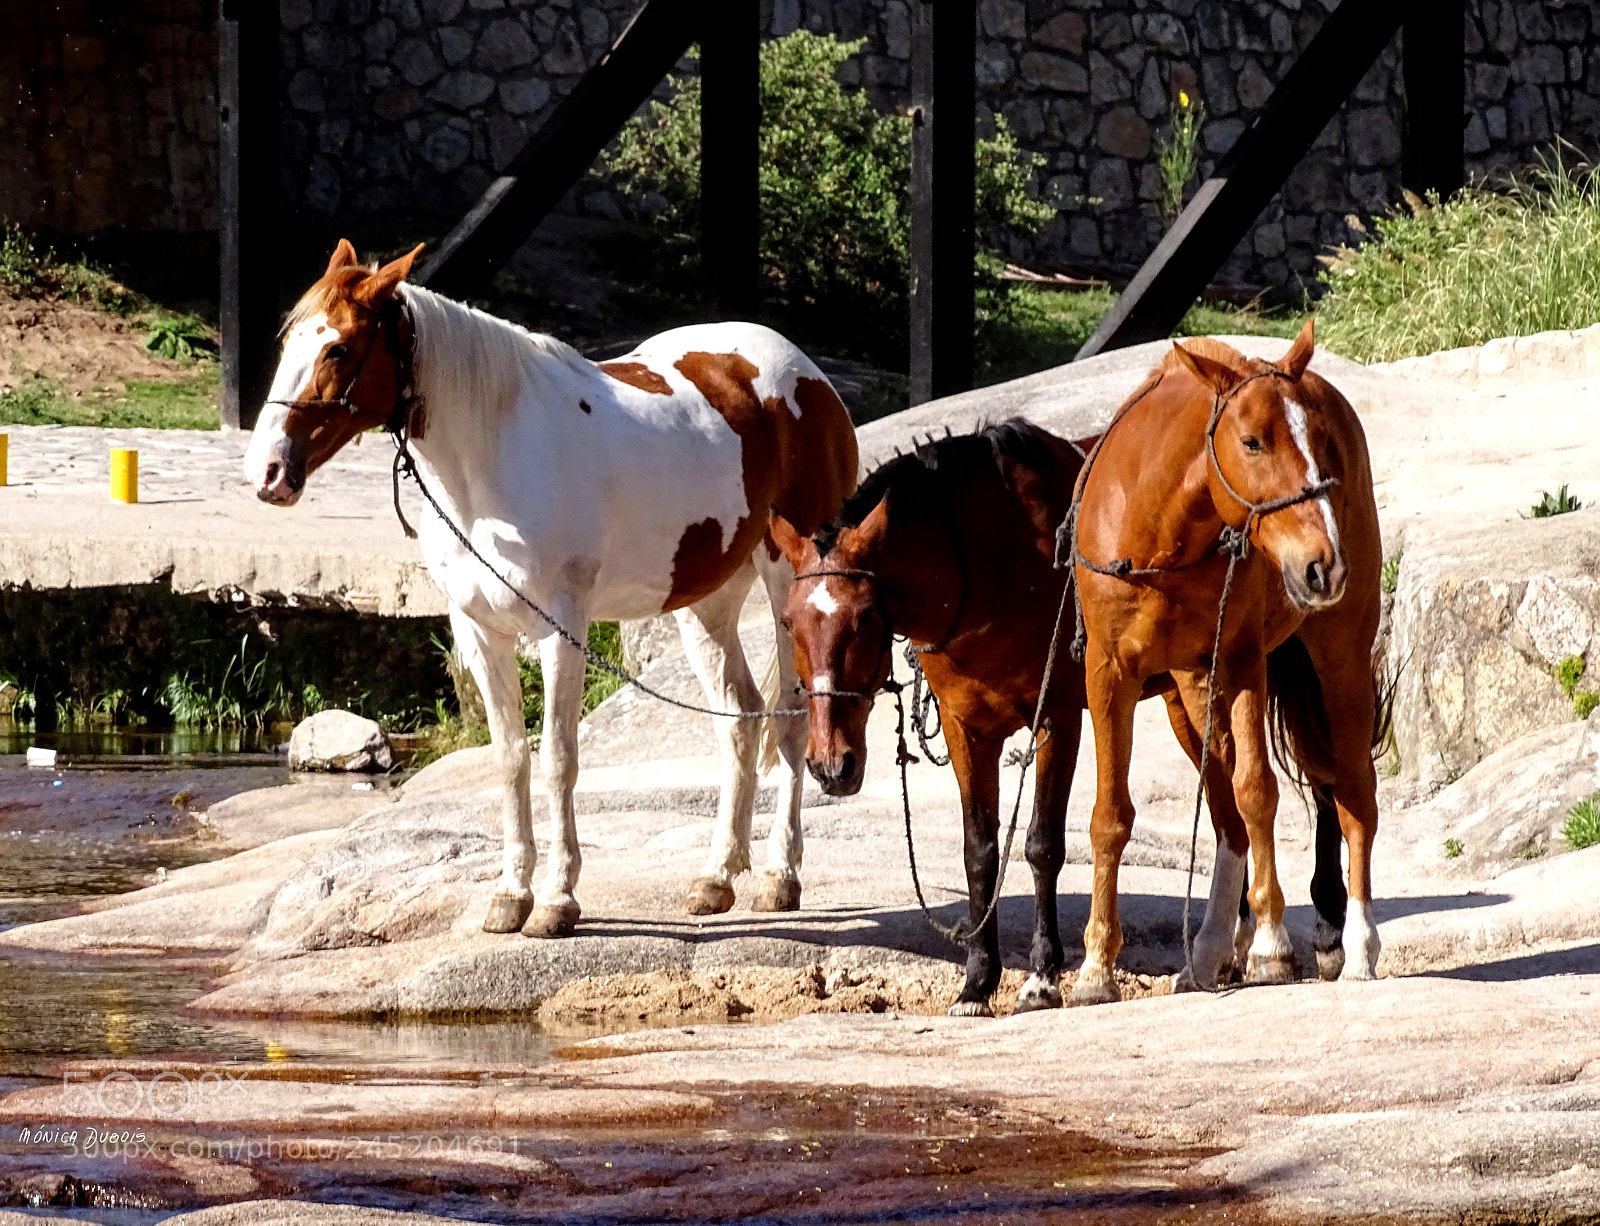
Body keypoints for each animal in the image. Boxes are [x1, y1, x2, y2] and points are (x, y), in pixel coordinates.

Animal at [244, 241, 858, 937]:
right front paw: (510, 895)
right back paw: (716, 878)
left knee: (790, 720)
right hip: (706, 603)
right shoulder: (480, 634)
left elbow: (558, 758)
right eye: (288, 339)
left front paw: (557, 901)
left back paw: (781, 877)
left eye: (339, 349)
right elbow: (510, 757)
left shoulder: (560, 632)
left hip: (793, 589)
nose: (267, 472)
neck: (495, 456)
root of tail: (808, 375)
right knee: (740, 720)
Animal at [769, 418, 1353, 1015]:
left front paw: (1042, 977)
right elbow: (979, 852)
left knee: (1322, 780)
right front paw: (978, 982)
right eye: (788, 623)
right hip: (1186, 697)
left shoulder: (1059, 716)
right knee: (1224, 800)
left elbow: (1043, 844)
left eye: (864, 619)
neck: (988, 558)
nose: (831, 765)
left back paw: (1328, 932)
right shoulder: (965, 730)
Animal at [1070, 322, 1387, 1003]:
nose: (1324, 565)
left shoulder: (1242, 660)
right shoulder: (1110, 675)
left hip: (1340, 659)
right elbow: (1112, 816)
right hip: (1187, 693)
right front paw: (1095, 968)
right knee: (1223, 816)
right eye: (1251, 442)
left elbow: (1255, 790)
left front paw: (1271, 944)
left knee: (1351, 794)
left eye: (1321, 442)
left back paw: (1357, 945)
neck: (1159, 534)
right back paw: (1210, 949)